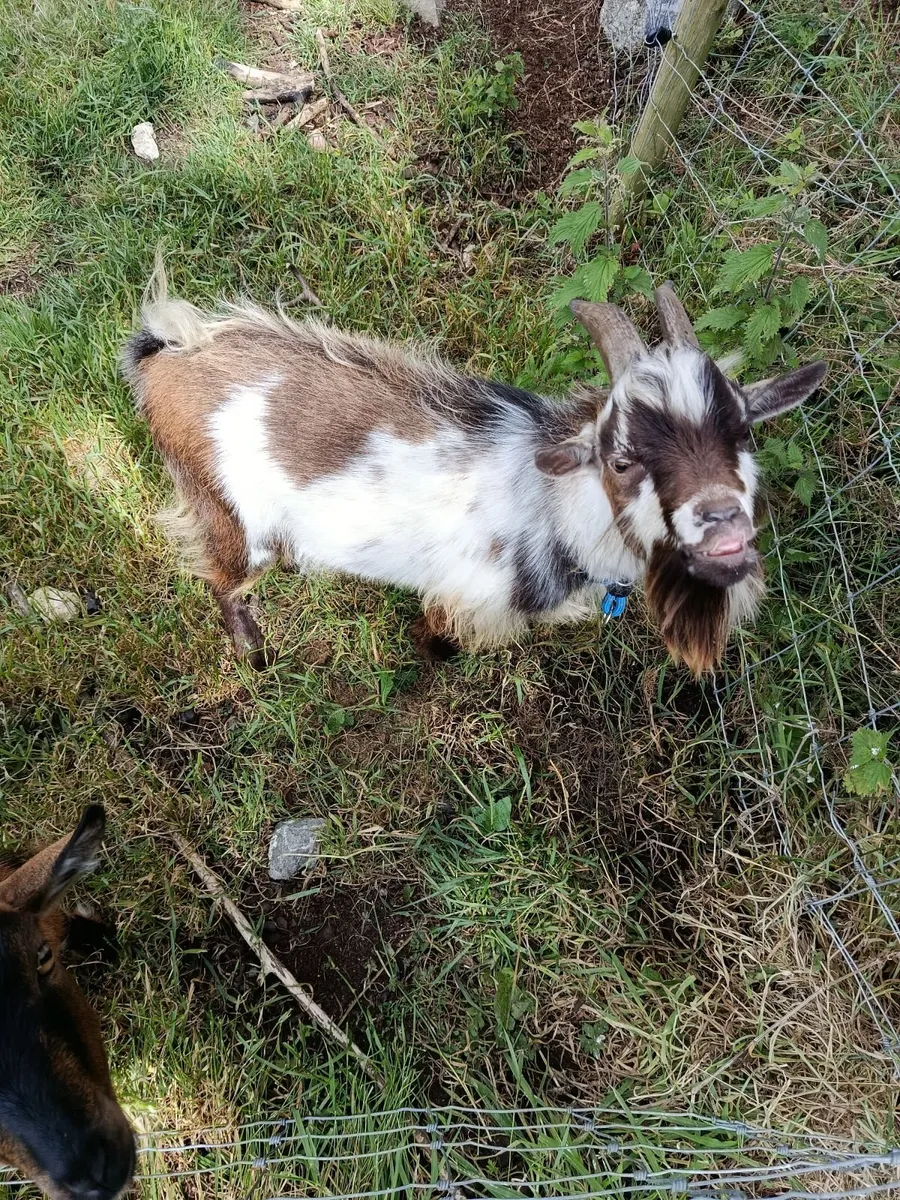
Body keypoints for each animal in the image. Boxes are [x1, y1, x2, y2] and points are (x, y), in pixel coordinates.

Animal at [122, 263, 827, 674]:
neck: (556, 514)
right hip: (229, 514)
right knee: (222, 579)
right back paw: (253, 651)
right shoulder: (463, 595)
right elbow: (439, 636)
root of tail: (168, 354)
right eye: (621, 459)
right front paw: (428, 662)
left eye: (743, 431)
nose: (722, 523)